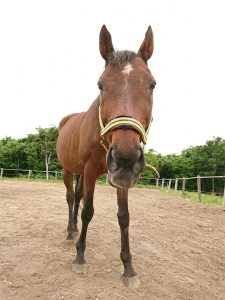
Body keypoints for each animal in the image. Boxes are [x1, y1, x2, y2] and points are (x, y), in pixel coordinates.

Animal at [55, 24, 156, 288]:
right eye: (100, 85)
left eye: (152, 84)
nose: (125, 156)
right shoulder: (91, 171)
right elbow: (88, 211)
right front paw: (80, 257)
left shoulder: (121, 178)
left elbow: (124, 217)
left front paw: (128, 268)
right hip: (68, 170)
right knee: (71, 198)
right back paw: (70, 230)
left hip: (81, 172)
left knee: (77, 196)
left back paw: (75, 229)